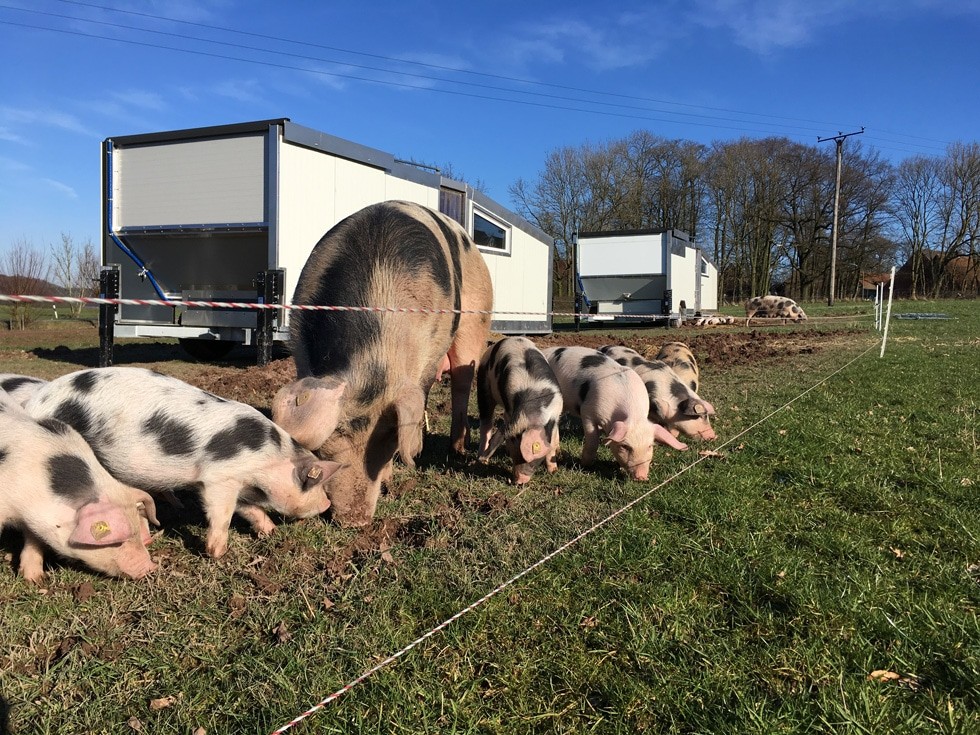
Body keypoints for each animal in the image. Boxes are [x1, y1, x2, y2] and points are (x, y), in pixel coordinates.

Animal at [25, 368, 340, 556]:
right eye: (313, 482)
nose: (327, 504)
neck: (268, 458)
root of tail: (34, 402)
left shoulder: (234, 482)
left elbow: (249, 509)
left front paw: (269, 532)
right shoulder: (220, 478)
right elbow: (222, 513)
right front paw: (217, 554)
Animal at [274, 198, 490, 528]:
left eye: (389, 437)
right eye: (333, 437)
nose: (355, 520)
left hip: (476, 319)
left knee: (462, 382)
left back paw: (455, 450)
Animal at [476, 336, 564, 486]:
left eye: (535, 462)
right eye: (513, 456)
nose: (519, 482)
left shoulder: (555, 415)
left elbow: (551, 444)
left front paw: (554, 471)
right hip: (483, 382)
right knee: (486, 421)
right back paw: (482, 458)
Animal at [540, 346, 684, 484]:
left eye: (650, 446)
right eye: (625, 446)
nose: (642, 477)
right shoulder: (587, 411)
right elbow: (592, 441)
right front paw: (584, 465)